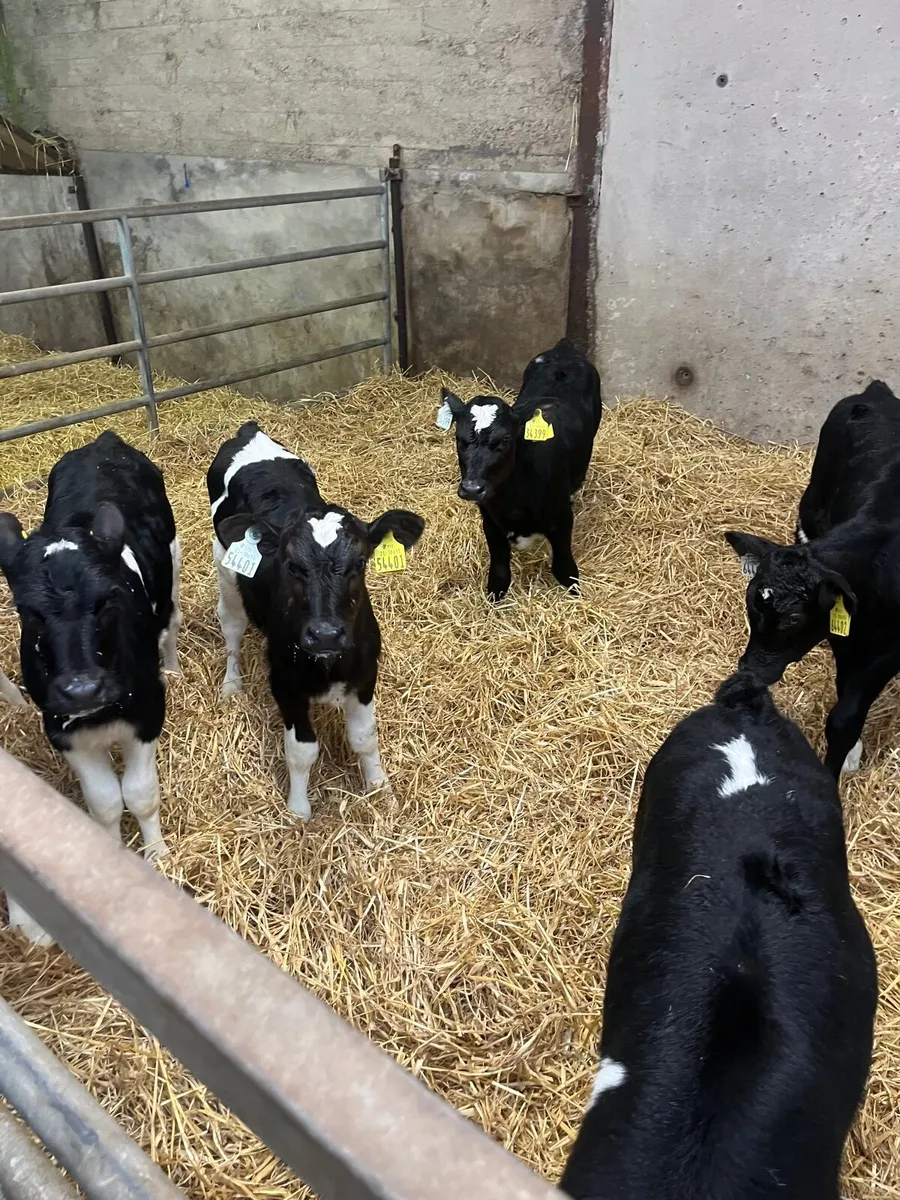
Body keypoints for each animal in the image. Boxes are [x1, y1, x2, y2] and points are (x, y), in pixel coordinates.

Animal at [0, 431, 181, 945]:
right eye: (27, 610)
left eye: (107, 601)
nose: (82, 689)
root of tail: (104, 441)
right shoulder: (63, 730)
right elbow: (104, 803)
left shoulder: (148, 713)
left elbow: (140, 792)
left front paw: (156, 855)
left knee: (172, 625)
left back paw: (174, 664)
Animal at [208, 422, 424, 820]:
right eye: (292, 565)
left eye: (360, 562)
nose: (325, 634)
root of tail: (250, 431)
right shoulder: (284, 683)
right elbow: (301, 750)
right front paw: (298, 809)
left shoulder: (366, 675)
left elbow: (365, 738)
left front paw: (381, 790)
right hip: (226, 573)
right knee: (231, 626)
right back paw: (231, 684)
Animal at [439, 338, 602, 600]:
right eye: (459, 439)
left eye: (505, 439)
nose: (472, 489)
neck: (513, 504)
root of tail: (563, 349)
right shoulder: (490, 522)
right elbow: (499, 577)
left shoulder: (562, 520)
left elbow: (565, 571)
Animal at [726, 379, 900, 776]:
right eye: (750, 605)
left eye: (793, 618)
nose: (749, 669)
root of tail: (876, 392)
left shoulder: (884, 654)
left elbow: (844, 717)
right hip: (809, 506)